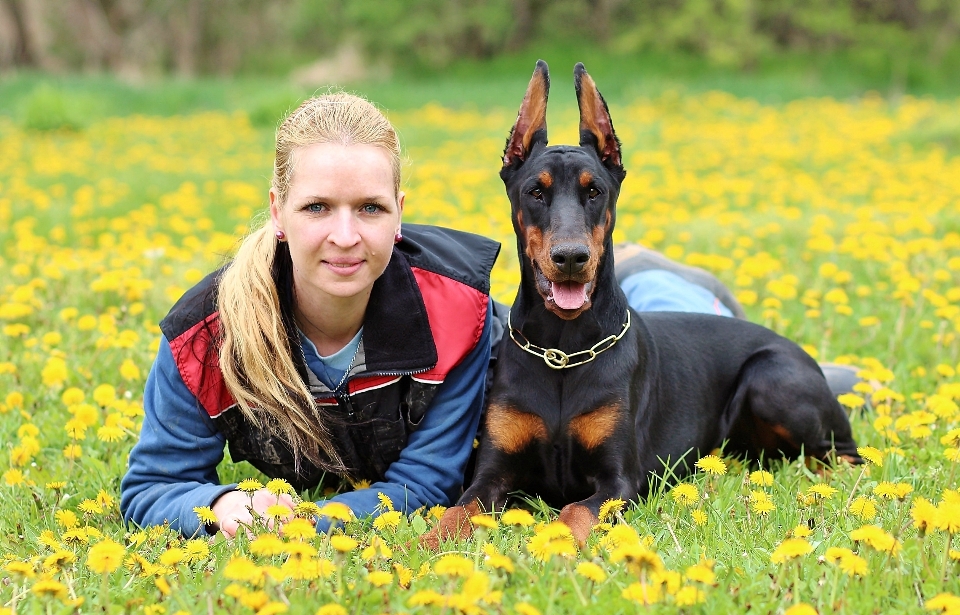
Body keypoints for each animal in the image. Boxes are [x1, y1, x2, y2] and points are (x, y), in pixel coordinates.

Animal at [420, 59, 864, 548]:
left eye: (595, 191)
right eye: (535, 192)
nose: (571, 258)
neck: (563, 349)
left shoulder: (619, 480)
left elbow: (575, 511)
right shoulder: (493, 472)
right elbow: (458, 512)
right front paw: (417, 547)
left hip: (772, 378)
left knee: (840, 456)